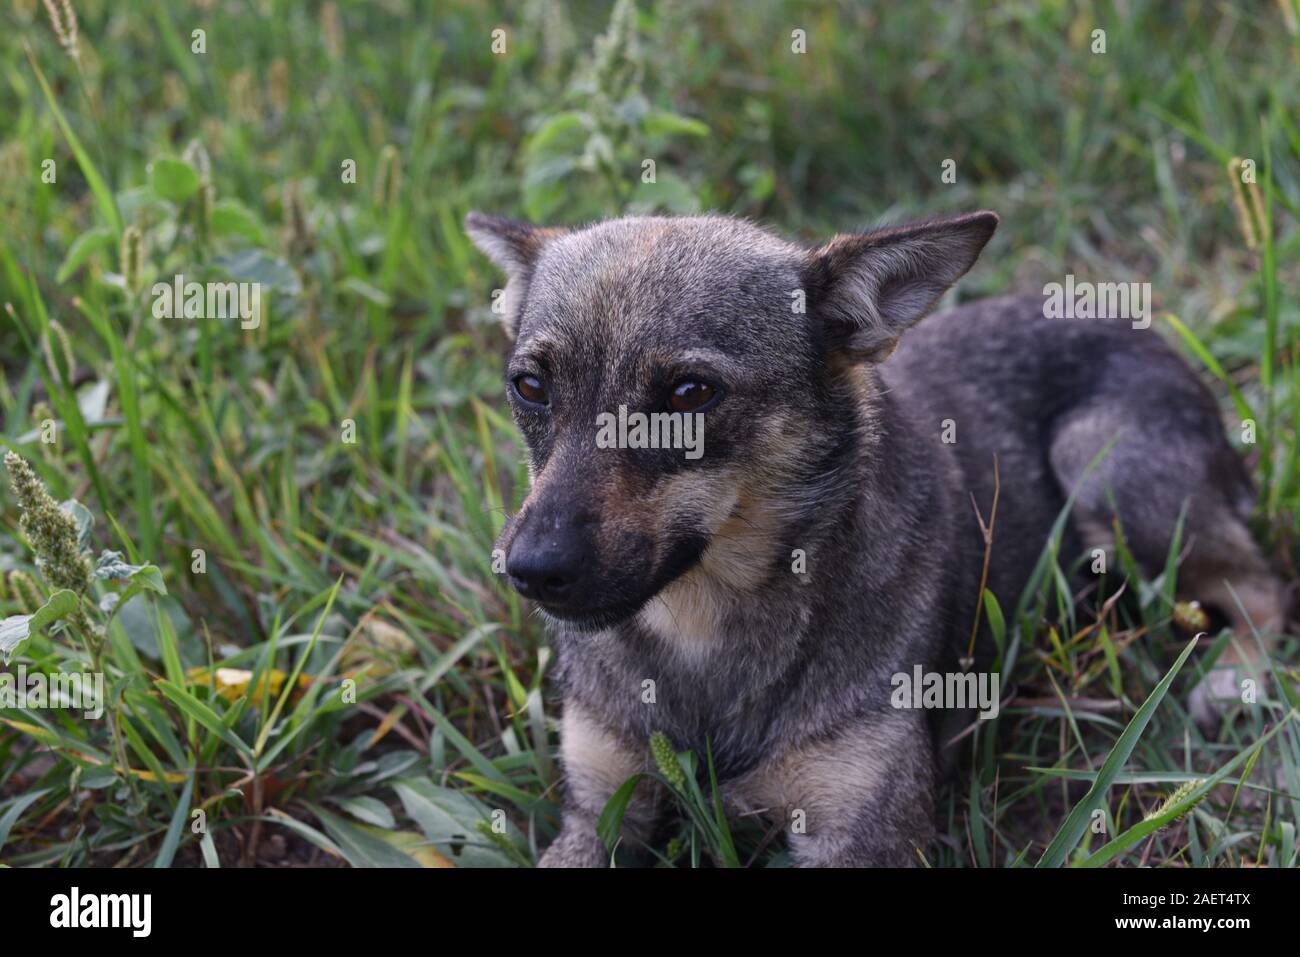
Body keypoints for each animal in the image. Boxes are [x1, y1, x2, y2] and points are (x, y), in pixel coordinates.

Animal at [462, 209, 1284, 868]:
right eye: (529, 387)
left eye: (689, 395)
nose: (530, 569)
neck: (702, 630)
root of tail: (1136, 326)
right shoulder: (598, 809)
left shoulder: (861, 833)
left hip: (1099, 467)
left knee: (1266, 582)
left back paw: (1231, 678)